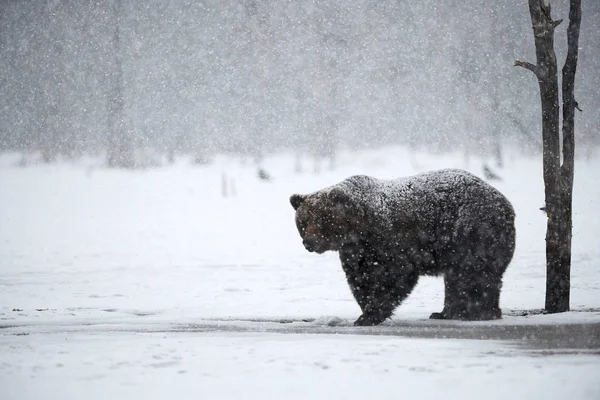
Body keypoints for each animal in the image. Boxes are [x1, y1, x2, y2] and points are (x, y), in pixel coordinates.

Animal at [290, 168, 516, 324]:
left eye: (322, 220)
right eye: (303, 222)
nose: (308, 242)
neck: (358, 230)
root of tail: (506, 203)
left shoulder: (390, 240)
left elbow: (395, 274)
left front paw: (371, 314)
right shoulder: (355, 252)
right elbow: (360, 279)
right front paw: (365, 311)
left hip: (472, 230)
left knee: (473, 272)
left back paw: (477, 313)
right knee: (458, 278)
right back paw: (446, 313)